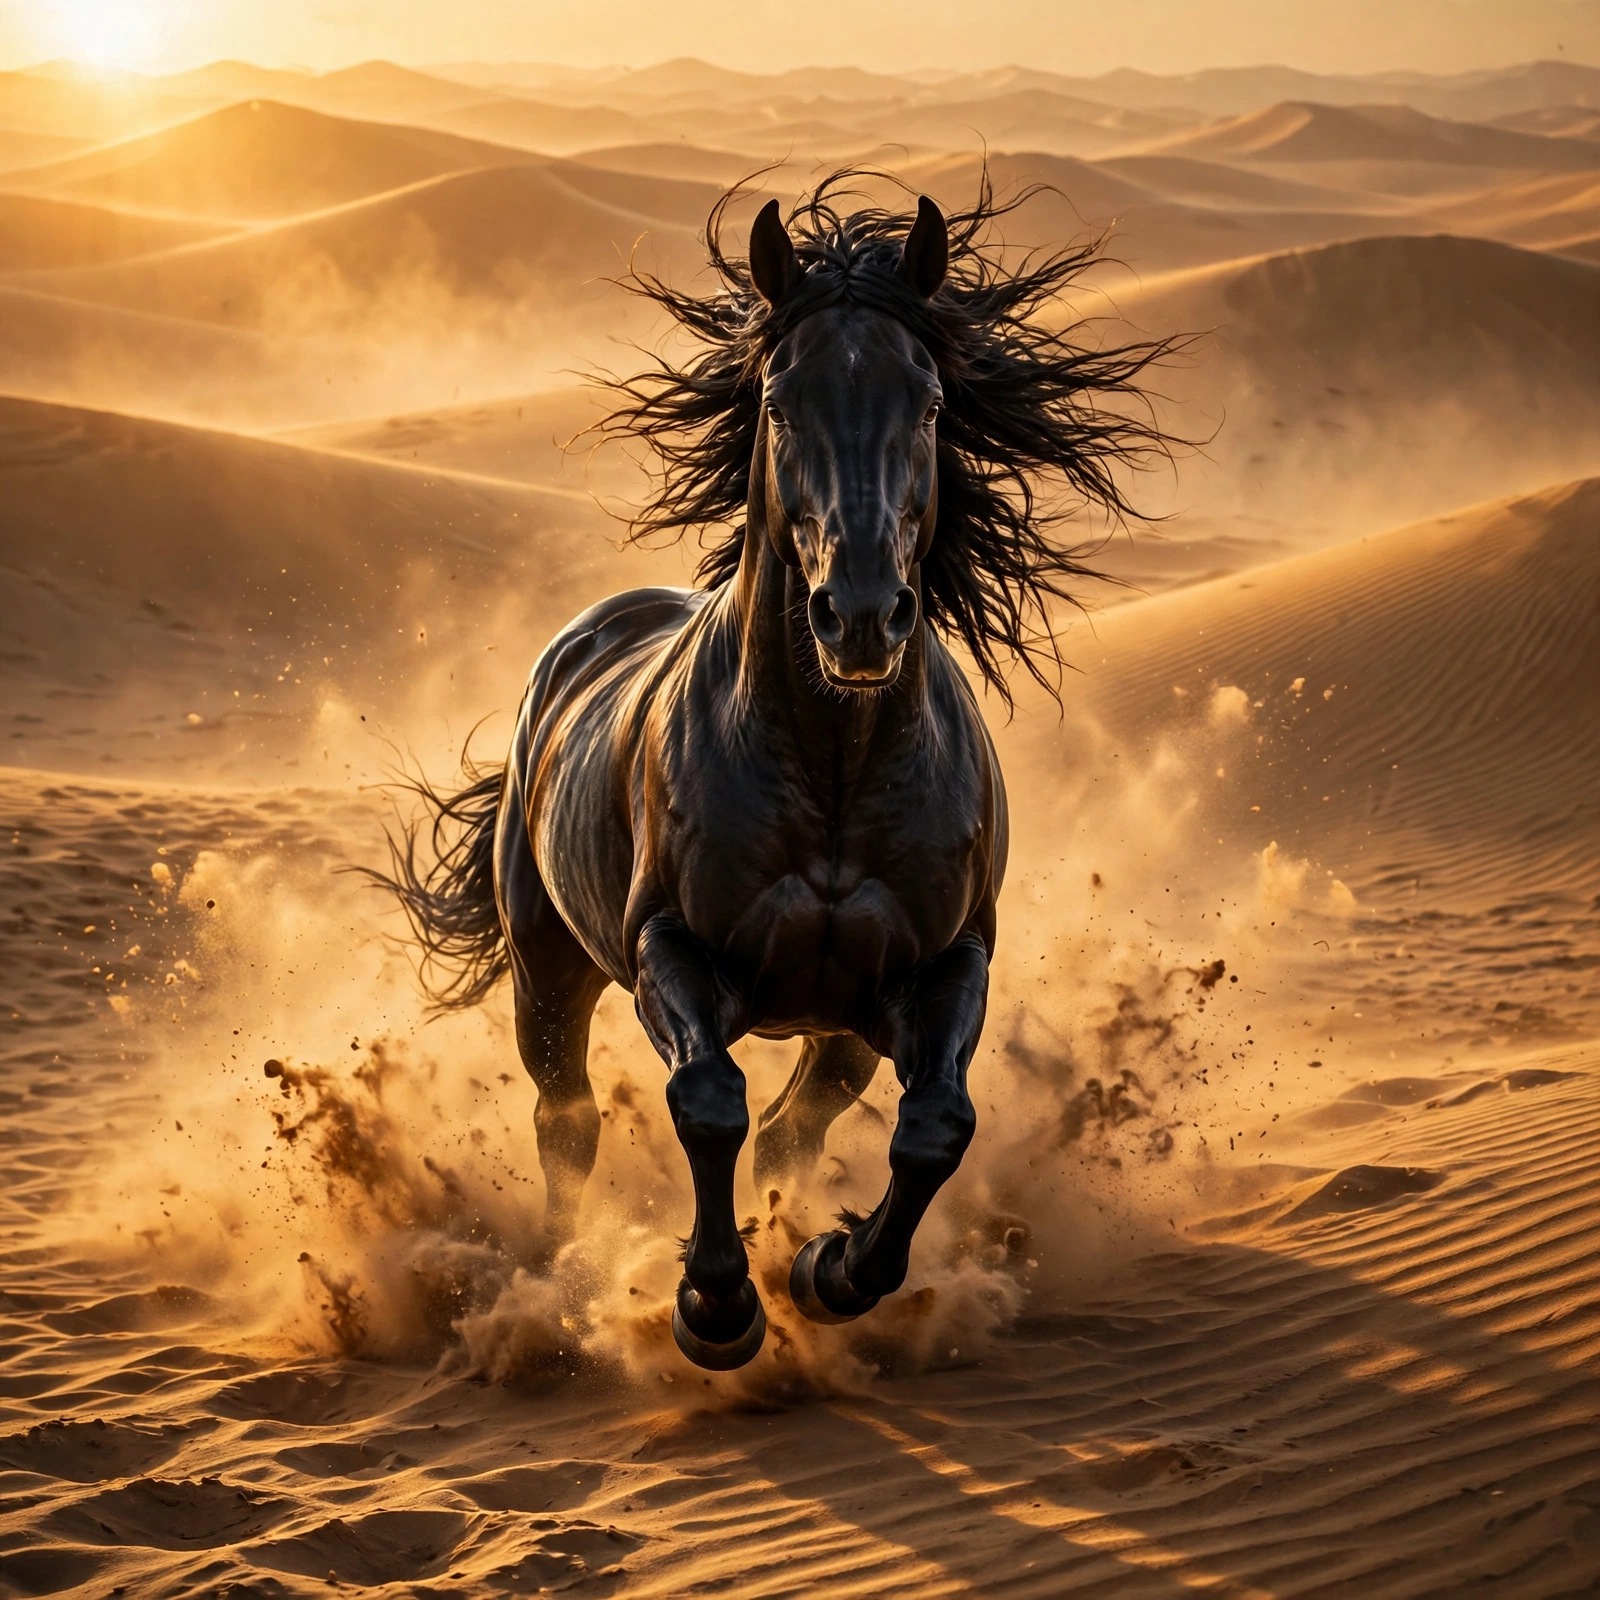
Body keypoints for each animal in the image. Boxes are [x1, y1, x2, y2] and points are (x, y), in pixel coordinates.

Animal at [378, 174, 1178, 1370]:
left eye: (929, 402)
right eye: (778, 401)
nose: (861, 615)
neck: (833, 775)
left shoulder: (942, 965)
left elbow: (934, 1128)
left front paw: (828, 1268)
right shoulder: (671, 950)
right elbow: (706, 1100)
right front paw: (716, 1308)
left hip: (837, 1026)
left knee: (798, 1127)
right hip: (548, 967)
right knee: (569, 1119)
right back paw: (562, 1276)